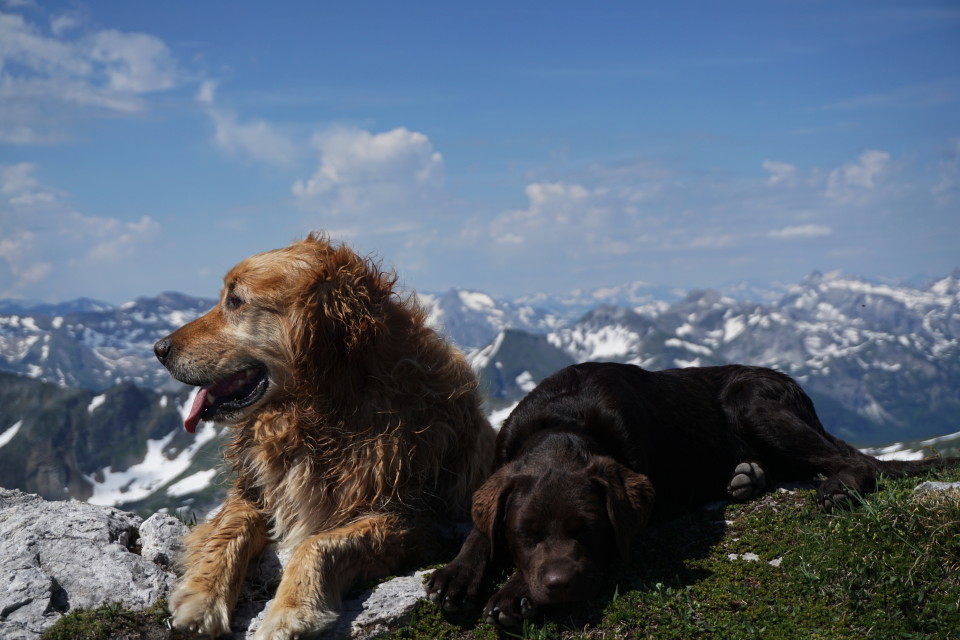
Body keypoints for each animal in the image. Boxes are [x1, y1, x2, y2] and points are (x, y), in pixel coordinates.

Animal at [156, 235, 496, 640]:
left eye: (235, 300)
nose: (158, 349)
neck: (321, 413)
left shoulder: (416, 520)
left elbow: (319, 542)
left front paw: (289, 610)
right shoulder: (257, 490)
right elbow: (228, 528)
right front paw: (202, 595)